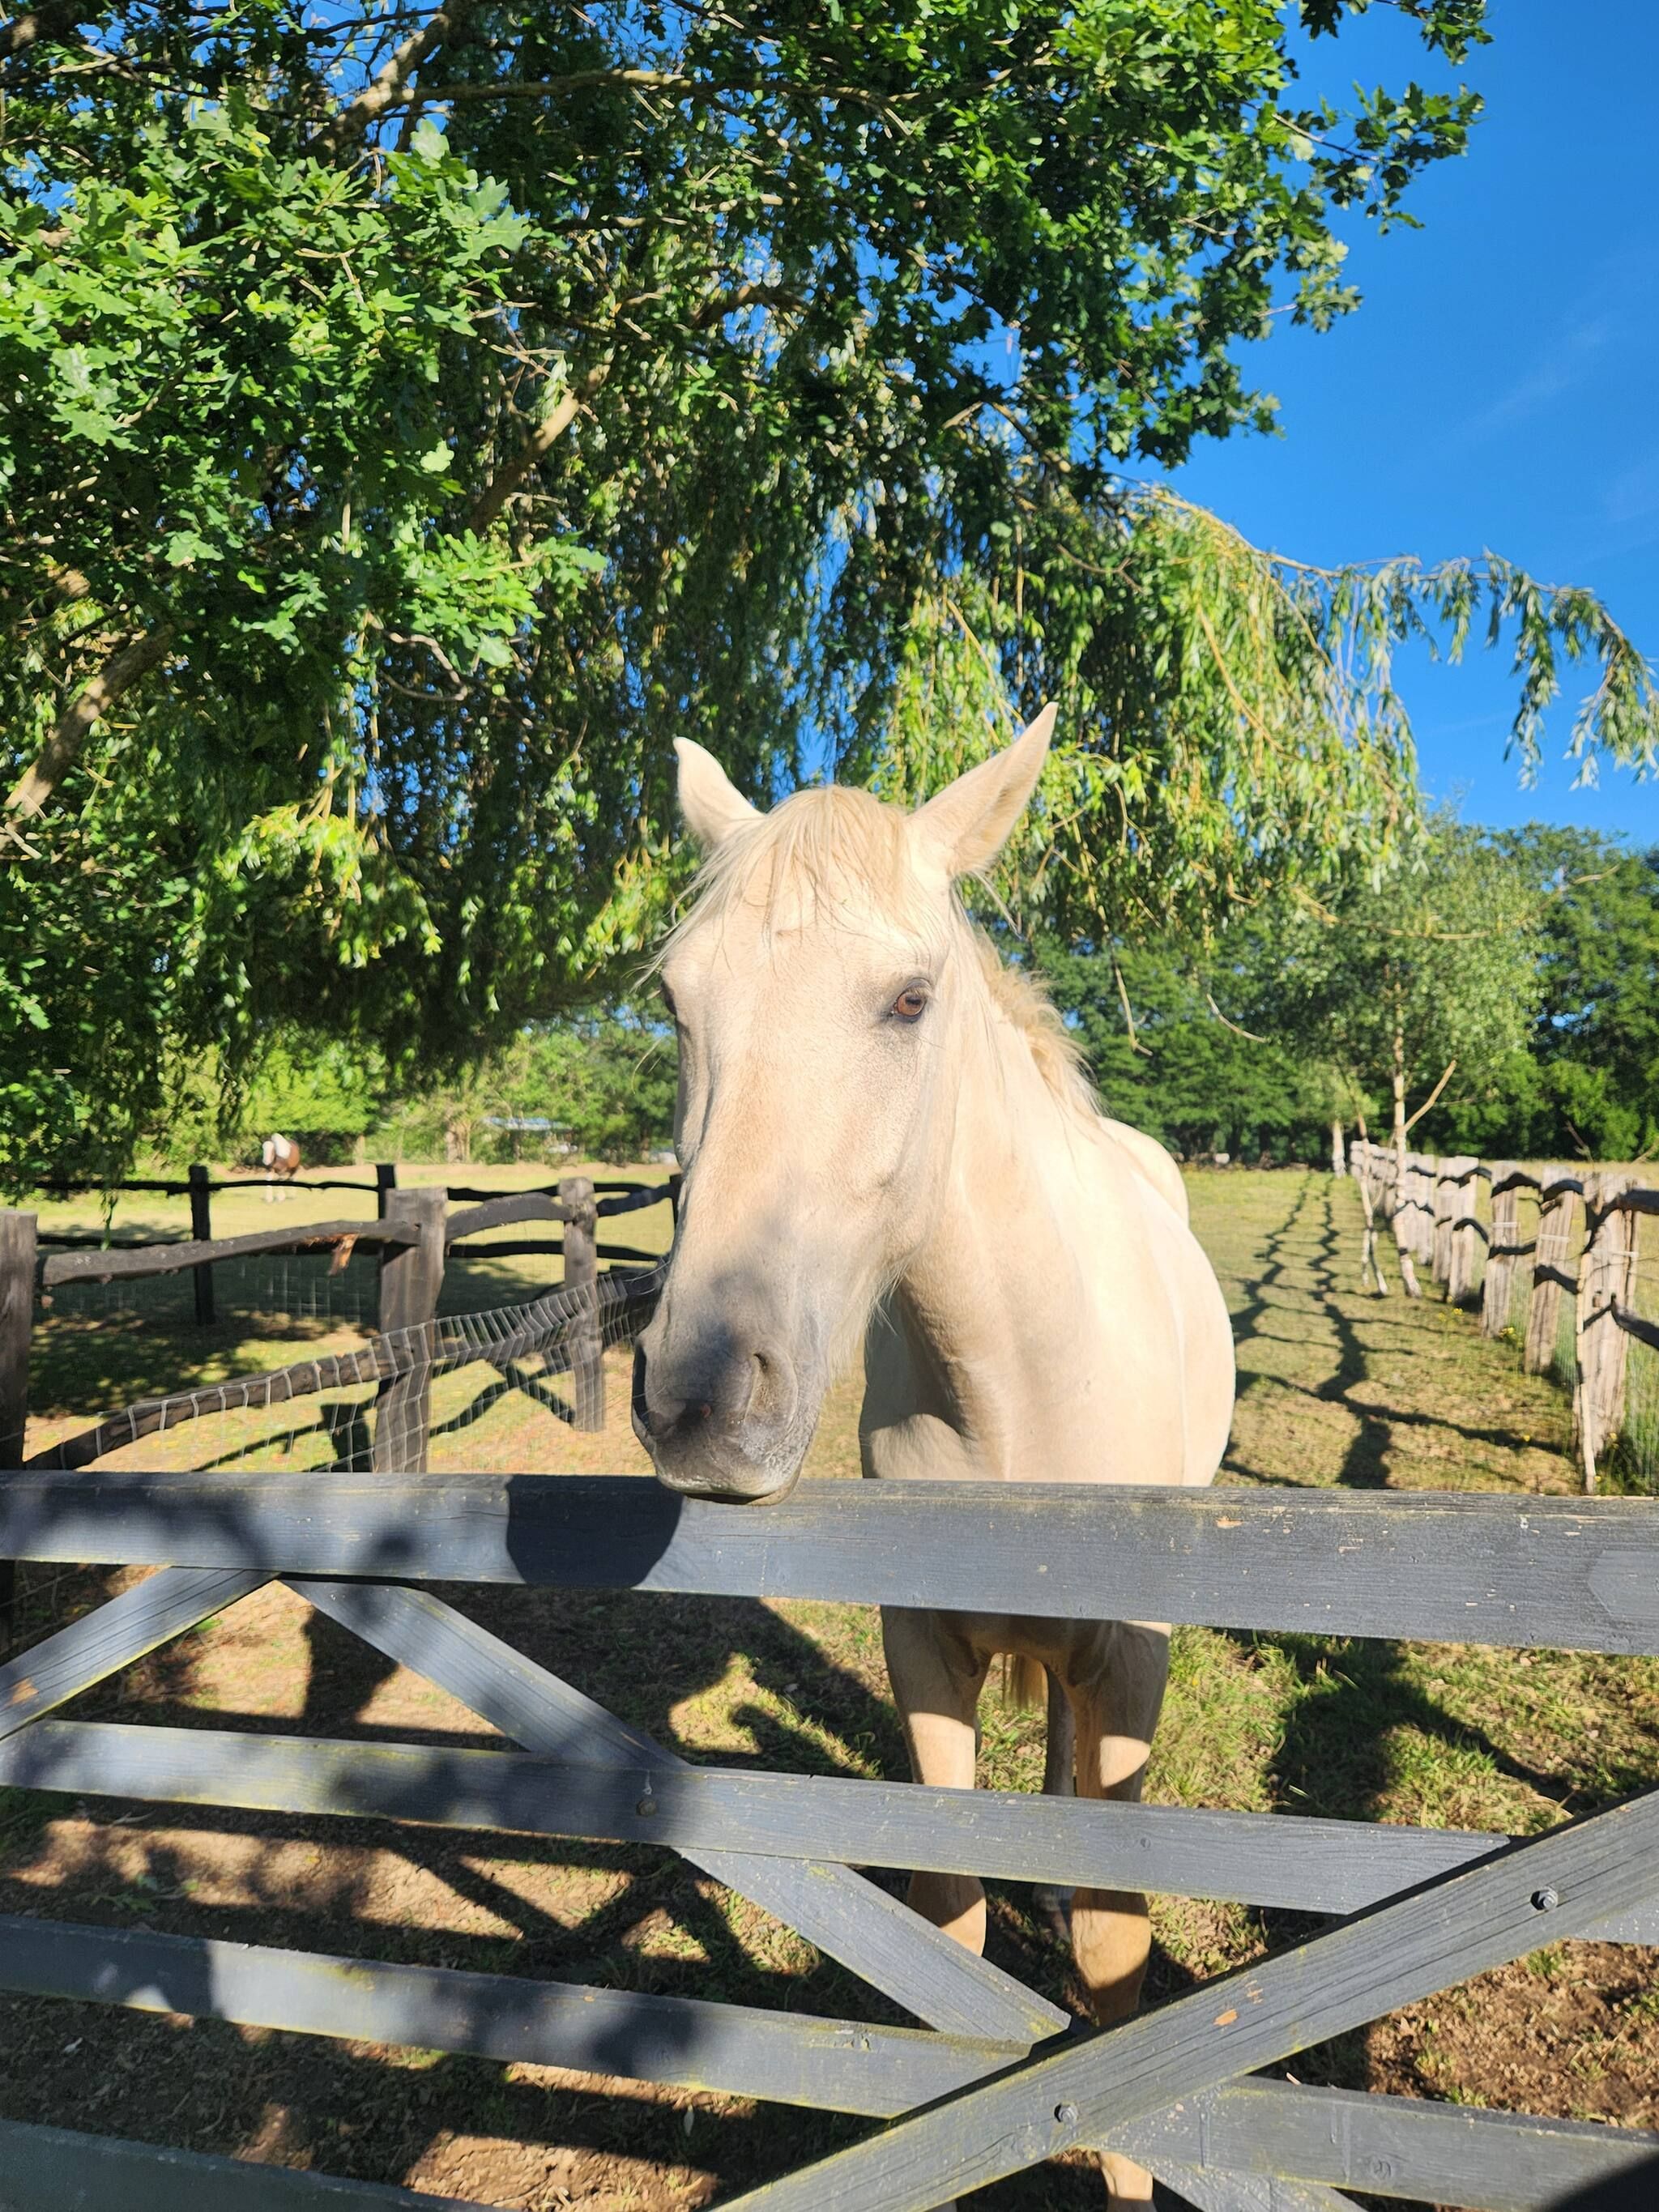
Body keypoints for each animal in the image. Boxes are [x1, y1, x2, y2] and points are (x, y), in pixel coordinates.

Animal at [631, 707, 1235, 2207]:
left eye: (909, 1001)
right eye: (673, 1001)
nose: (699, 1399)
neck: (1018, 1387)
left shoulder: (1131, 1658)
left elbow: (1114, 1953)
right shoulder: (924, 1646)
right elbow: (946, 1931)